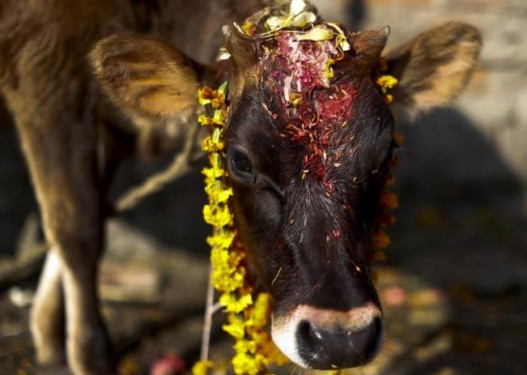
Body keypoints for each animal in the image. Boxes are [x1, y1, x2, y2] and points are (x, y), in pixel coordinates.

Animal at [0, 0, 482, 374]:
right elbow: (77, 228)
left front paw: (48, 334)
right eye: (241, 160)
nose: (341, 338)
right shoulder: (44, 79)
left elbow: (87, 212)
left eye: (386, 152)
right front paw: (88, 354)